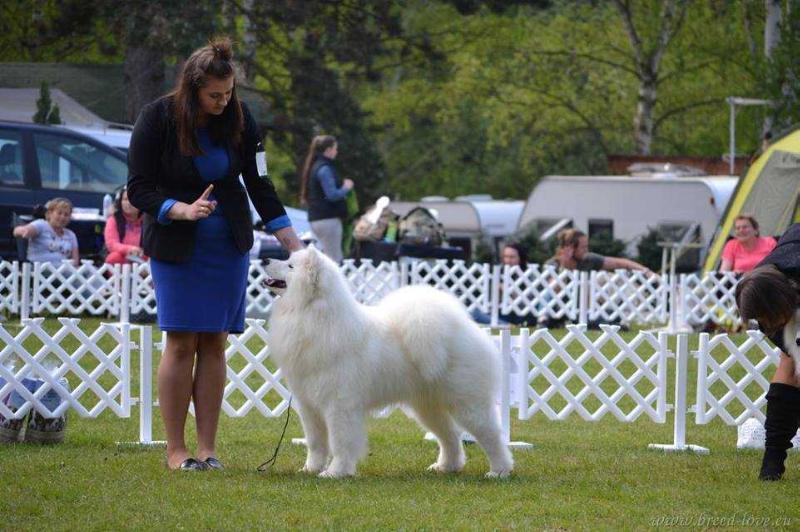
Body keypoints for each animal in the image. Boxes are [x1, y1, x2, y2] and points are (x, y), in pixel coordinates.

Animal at [262, 247, 512, 480]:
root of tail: (464, 326)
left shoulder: (339, 405)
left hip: (467, 404)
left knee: (491, 435)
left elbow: (340, 443)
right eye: (287, 259)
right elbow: (315, 443)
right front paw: (310, 469)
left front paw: (335, 472)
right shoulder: (309, 405)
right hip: (428, 407)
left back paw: (499, 471)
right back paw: (446, 467)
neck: (311, 313)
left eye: (290, 266)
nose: (264, 259)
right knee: (450, 436)